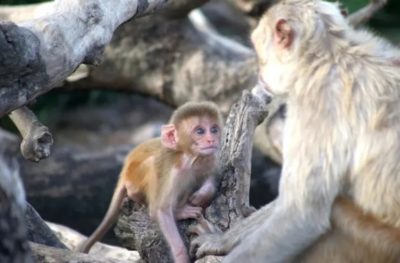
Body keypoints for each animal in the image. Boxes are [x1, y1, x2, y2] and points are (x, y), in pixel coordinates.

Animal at [76, 101, 223, 263]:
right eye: (200, 131)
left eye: (214, 129)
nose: (211, 139)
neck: (190, 158)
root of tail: (125, 170)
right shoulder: (174, 172)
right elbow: (161, 211)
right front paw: (180, 255)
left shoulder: (209, 159)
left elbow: (212, 176)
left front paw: (203, 195)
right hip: (135, 176)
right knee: (151, 167)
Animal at [191, 1, 400, 262]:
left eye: (260, 55)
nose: (261, 72)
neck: (330, 56)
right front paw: (221, 240)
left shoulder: (317, 103)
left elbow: (301, 215)